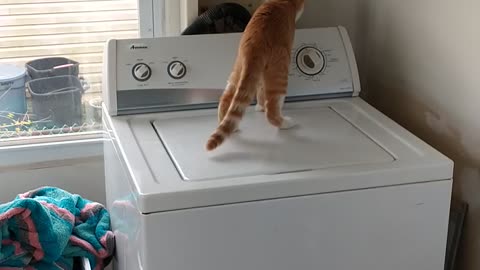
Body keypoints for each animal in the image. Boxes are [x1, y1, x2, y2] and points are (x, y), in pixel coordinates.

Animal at [205, 0, 304, 151]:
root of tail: (254, 43)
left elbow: (261, 92)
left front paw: (259, 106)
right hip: (280, 69)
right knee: (272, 108)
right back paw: (285, 123)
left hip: (238, 69)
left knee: (226, 98)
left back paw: (231, 126)